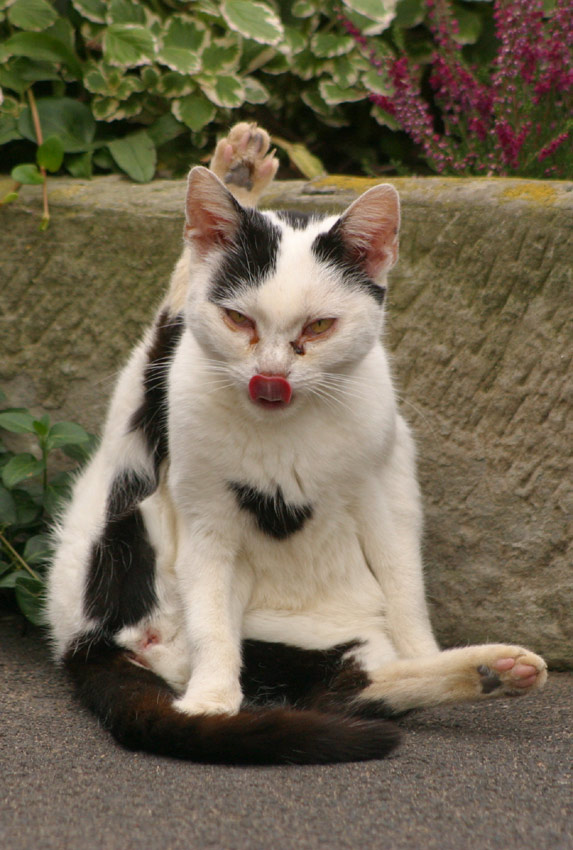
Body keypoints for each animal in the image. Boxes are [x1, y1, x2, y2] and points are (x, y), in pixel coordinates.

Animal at [45, 121, 544, 760]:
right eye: (239, 320)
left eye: (319, 326)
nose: (271, 378)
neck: (285, 438)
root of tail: (86, 641)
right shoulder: (206, 519)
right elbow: (212, 615)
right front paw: (211, 701)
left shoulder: (387, 493)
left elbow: (406, 589)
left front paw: (425, 644)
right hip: (131, 485)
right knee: (160, 337)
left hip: (312, 644)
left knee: (350, 690)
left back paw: (493, 670)